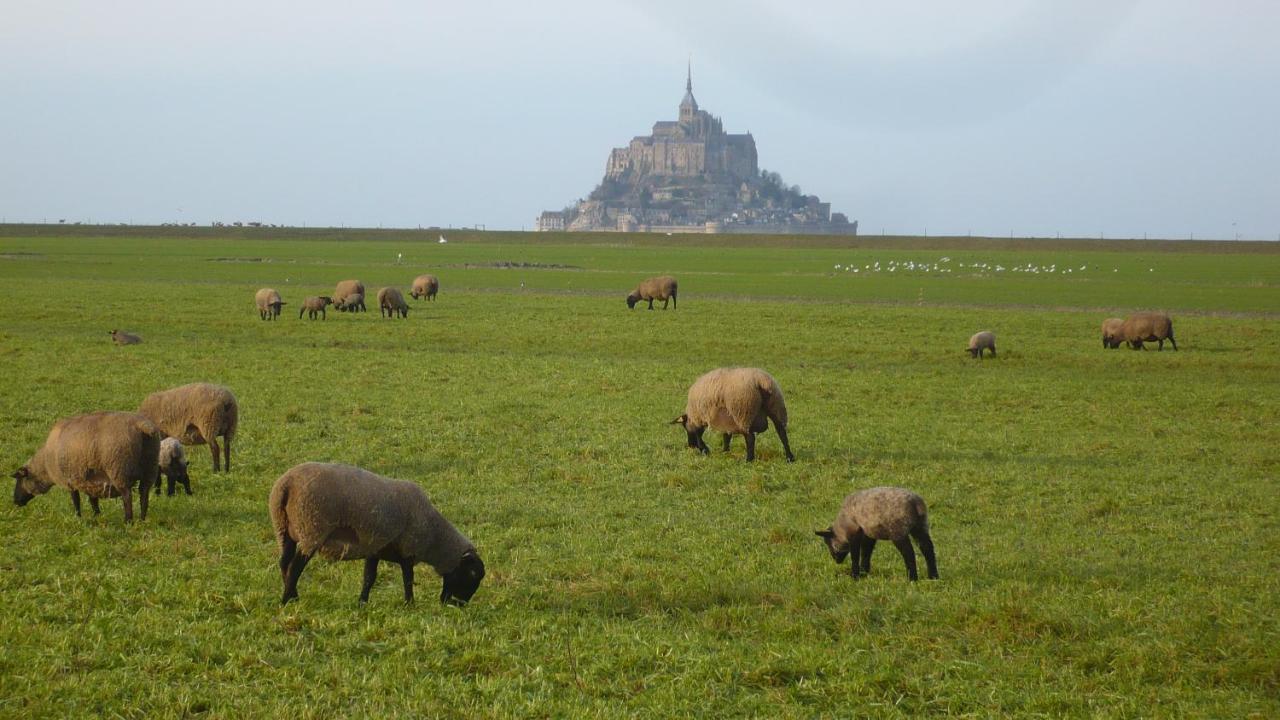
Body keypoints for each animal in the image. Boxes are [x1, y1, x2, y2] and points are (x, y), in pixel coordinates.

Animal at [10, 409, 161, 520]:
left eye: (20, 479)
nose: (15, 501)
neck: (46, 465)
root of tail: (142, 426)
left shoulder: (69, 480)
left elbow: (76, 500)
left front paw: (78, 517)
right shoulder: (88, 480)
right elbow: (93, 500)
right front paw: (96, 516)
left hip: (119, 470)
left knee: (127, 497)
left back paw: (128, 521)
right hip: (150, 467)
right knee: (144, 494)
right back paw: (142, 519)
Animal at [268, 458, 483, 604]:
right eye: (472, 574)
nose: (459, 606)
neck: (434, 538)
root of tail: (286, 484)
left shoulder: (375, 547)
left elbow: (369, 578)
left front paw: (362, 602)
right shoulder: (407, 549)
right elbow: (408, 579)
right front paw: (410, 603)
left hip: (284, 529)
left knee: (284, 562)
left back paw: (292, 595)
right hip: (312, 528)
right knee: (295, 566)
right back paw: (287, 600)